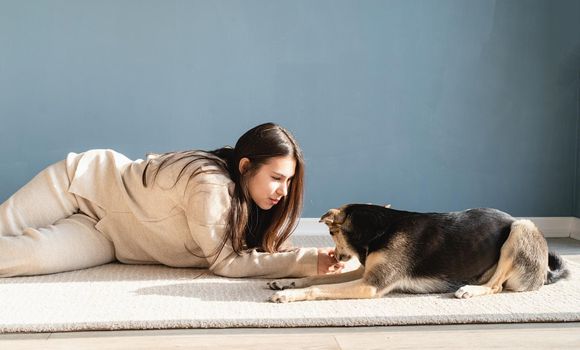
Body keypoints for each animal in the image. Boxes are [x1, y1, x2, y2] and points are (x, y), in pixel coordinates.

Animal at [270, 204, 568, 302]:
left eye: (332, 233)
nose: (336, 256)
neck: (378, 229)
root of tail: (545, 272)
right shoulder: (365, 273)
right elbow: (315, 278)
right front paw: (286, 282)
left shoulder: (370, 285)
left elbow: (316, 288)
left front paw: (287, 295)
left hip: (522, 227)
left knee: (496, 286)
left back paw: (470, 290)